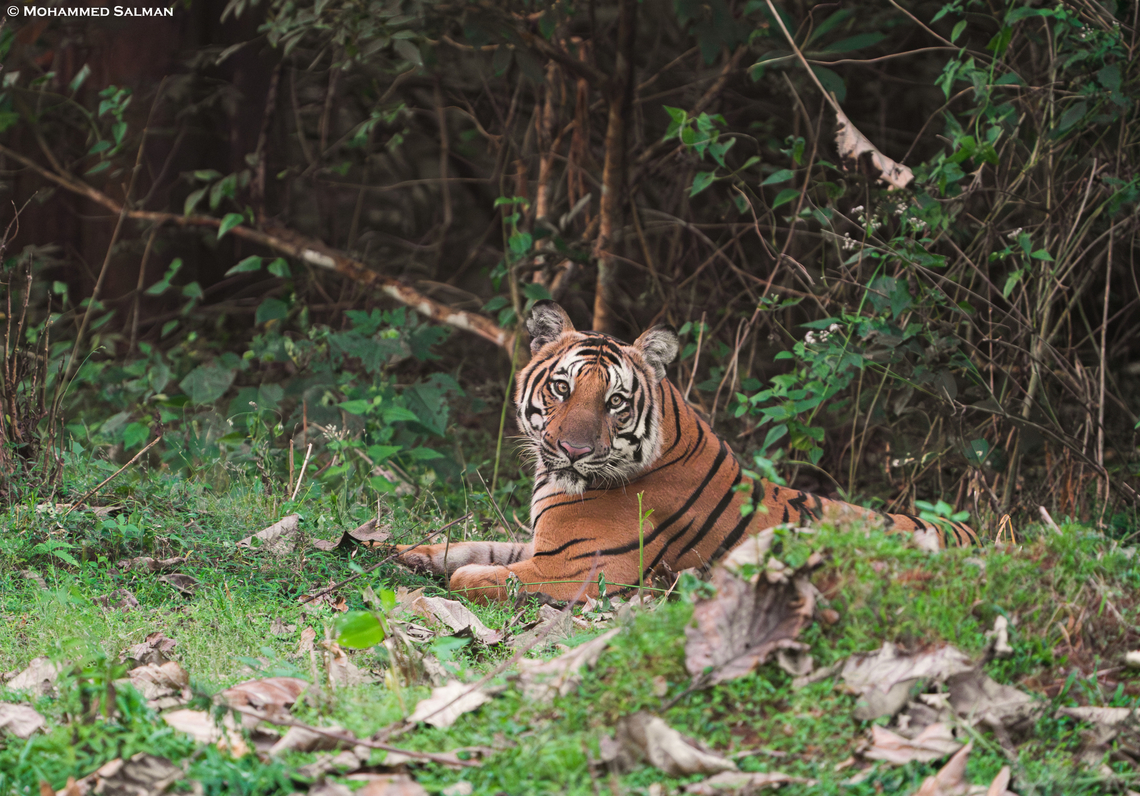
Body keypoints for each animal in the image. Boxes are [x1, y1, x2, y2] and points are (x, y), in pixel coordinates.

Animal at [397, 300, 978, 603]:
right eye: (562, 388)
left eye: (614, 402)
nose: (572, 451)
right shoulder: (543, 544)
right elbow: (470, 547)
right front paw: (403, 552)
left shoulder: (573, 567)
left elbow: (476, 575)